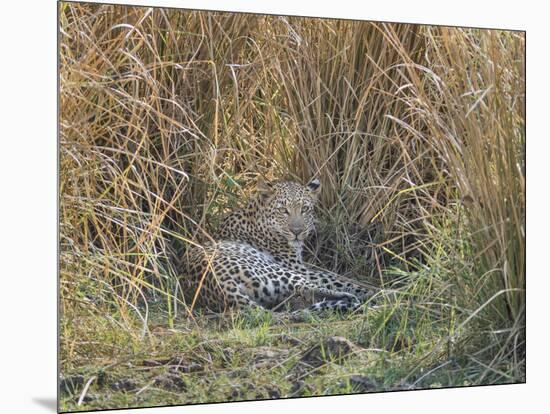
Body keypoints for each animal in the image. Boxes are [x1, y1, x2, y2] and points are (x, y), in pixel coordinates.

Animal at [183, 176, 378, 312]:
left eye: (304, 209)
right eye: (283, 211)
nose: (297, 231)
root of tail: (223, 287)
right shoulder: (299, 268)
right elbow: (338, 280)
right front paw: (372, 290)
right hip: (278, 271)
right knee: (308, 287)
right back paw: (358, 299)